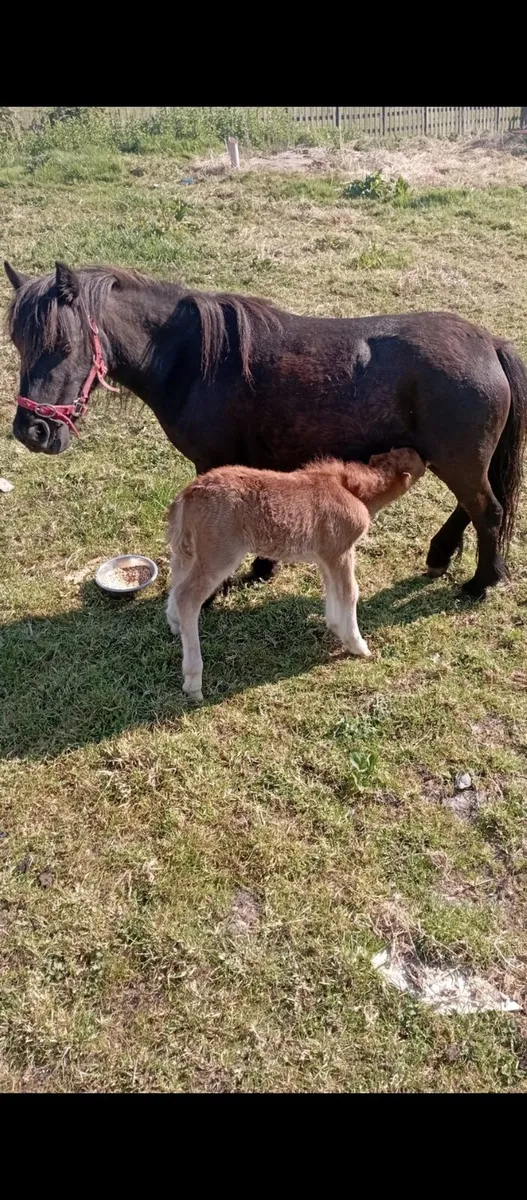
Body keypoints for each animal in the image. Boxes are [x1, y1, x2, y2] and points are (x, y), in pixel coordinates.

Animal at [4, 259, 527, 599]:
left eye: (61, 343)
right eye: (18, 343)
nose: (32, 431)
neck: (191, 361)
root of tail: (490, 343)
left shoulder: (212, 463)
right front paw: (261, 568)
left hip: (459, 461)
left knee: (488, 511)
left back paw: (481, 583)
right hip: (456, 460)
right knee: (474, 508)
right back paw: (441, 555)